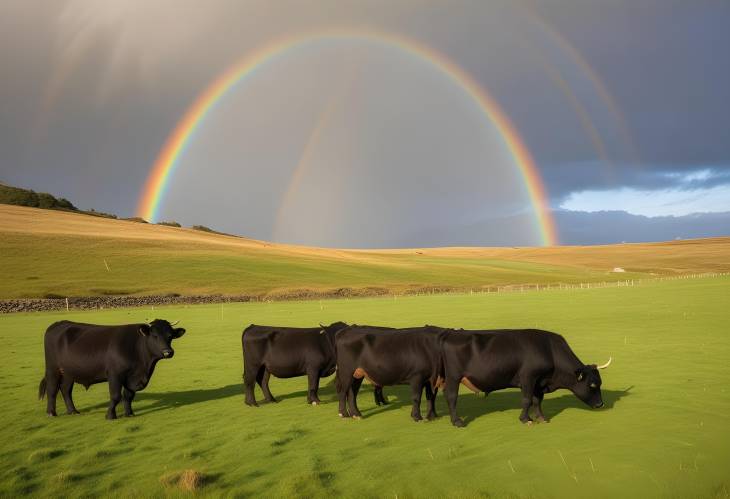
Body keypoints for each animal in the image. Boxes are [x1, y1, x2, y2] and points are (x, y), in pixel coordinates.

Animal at [37, 320, 186, 418]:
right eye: (154, 336)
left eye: (170, 336)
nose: (168, 352)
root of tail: (58, 323)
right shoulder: (115, 375)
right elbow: (115, 396)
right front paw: (110, 415)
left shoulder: (131, 378)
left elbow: (128, 396)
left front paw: (129, 413)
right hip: (52, 369)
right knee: (52, 389)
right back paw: (51, 413)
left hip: (69, 372)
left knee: (65, 389)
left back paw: (73, 411)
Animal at [243, 324, 386, 406]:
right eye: (333, 334)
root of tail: (253, 326)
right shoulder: (313, 368)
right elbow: (313, 384)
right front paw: (315, 400)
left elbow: (314, 385)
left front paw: (310, 400)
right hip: (252, 364)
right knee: (249, 380)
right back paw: (252, 403)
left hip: (265, 367)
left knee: (262, 381)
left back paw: (271, 400)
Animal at [438, 328, 608, 430]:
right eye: (592, 385)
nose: (600, 404)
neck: (550, 350)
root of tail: (452, 333)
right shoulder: (528, 377)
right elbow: (526, 400)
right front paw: (526, 419)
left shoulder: (539, 382)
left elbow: (537, 401)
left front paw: (541, 418)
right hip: (454, 377)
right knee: (451, 397)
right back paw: (457, 421)